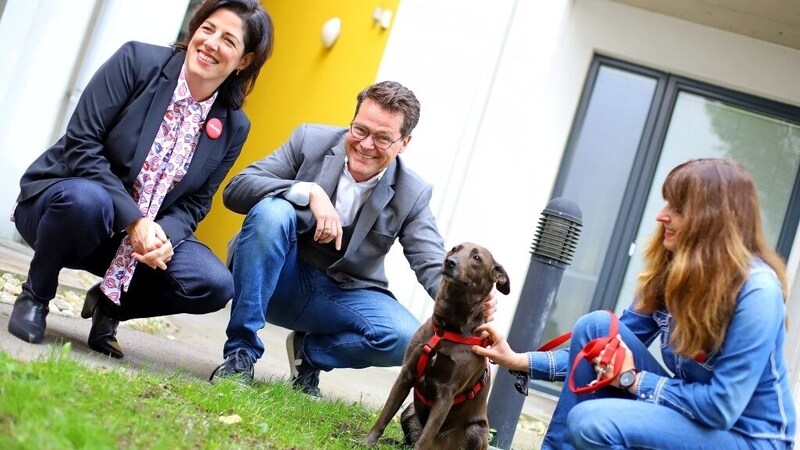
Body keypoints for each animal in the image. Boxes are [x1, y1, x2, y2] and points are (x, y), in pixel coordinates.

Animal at [366, 243, 510, 450]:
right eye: (454, 249)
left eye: (477, 258)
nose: (449, 262)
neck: (446, 329)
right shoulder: (406, 375)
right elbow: (384, 415)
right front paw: (366, 442)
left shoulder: (446, 394)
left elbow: (426, 437)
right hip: (408, 411)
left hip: (477, 430)